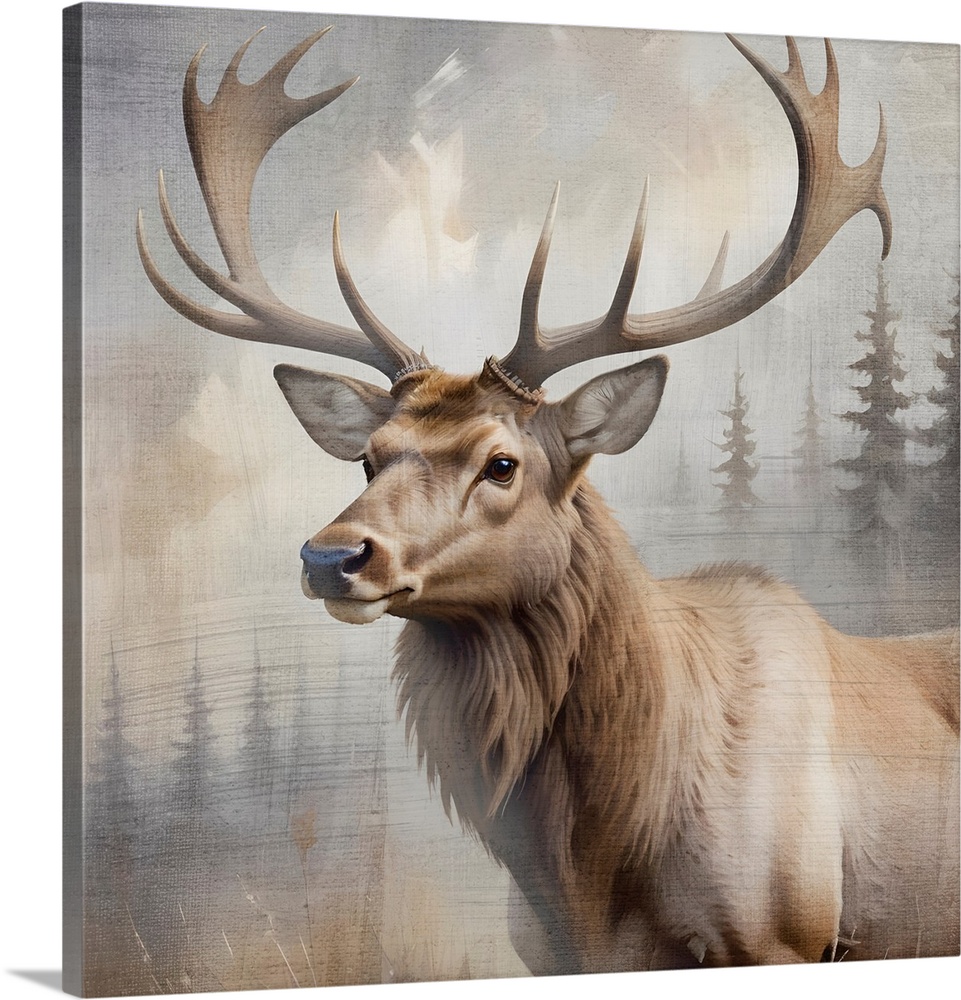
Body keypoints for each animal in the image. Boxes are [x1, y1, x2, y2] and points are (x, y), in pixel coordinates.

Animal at [138, 26, 960, 975]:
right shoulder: (545, 950)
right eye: (368, 459)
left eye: (500, 464)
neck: (594, 867)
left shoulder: (787, 932)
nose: (331, 555)